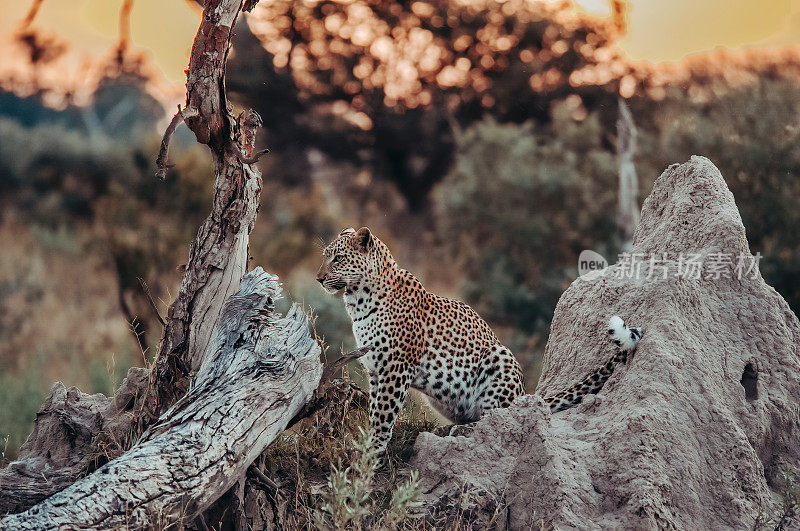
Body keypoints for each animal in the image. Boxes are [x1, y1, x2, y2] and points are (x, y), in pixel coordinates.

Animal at [316, 227, 640, 456]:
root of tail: (525, 395)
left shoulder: (395, 367)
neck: (358, 301)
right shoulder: (375, 368)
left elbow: (383, 414)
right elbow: (375, 409)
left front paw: (373, 452)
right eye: (324, 256)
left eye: (338, 258)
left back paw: (466, 432)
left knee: (496, 418)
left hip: (500, 357)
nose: (318, 279)